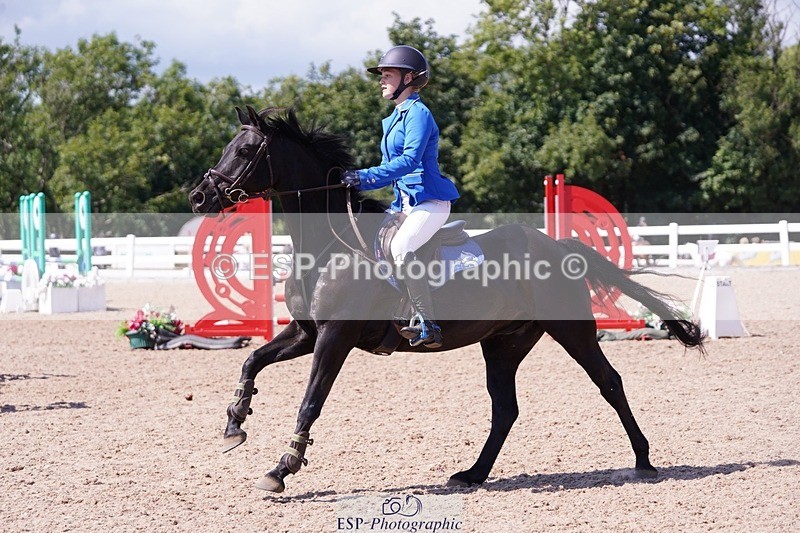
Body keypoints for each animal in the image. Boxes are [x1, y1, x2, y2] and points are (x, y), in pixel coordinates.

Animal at [189, 105, 705, 493]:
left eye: (246, 151)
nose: (198, 197)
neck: (327, 246)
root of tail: (558, 247)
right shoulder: (306, 332)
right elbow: (252, 360)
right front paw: (235, 423)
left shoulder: (334, 336)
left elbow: (310, 401)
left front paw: (281, 468)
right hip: (503, 344)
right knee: (506, 409)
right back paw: (473, 474)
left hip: (572, 331)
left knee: (609, 383)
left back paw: (643, 460)